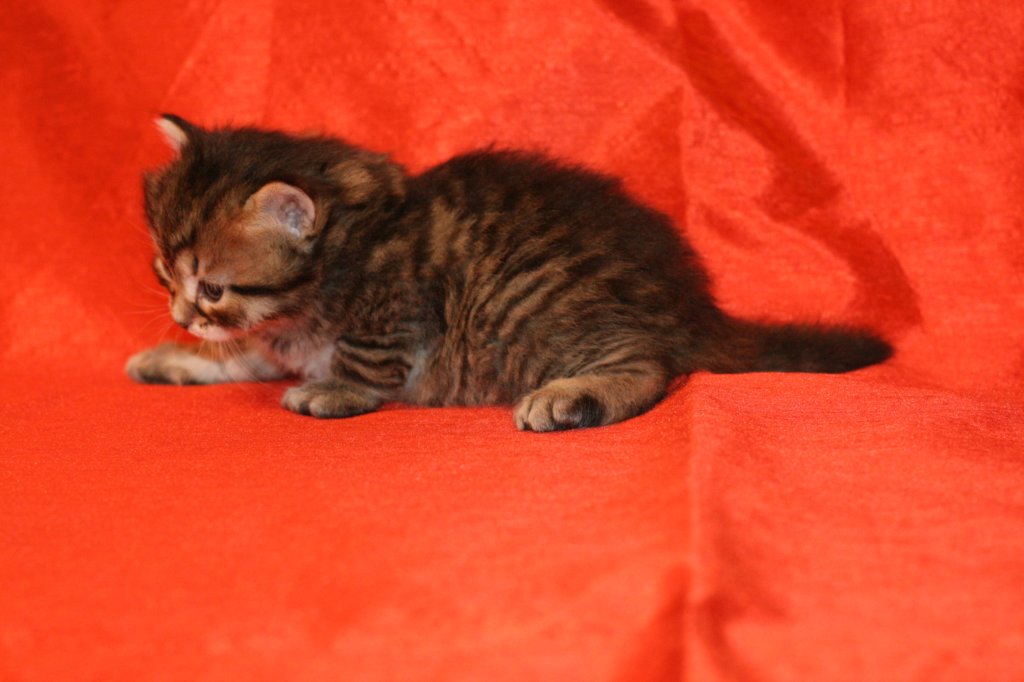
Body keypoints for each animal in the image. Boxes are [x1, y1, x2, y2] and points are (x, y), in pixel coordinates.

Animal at [126, 114, 892, 431]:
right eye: (164, 272)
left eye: (213, 287)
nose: (181, 314)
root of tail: (691, 304)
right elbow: (243, 354)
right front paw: (179, 357)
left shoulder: (396, 307)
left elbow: (363, 359)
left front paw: (333, 388)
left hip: (534, 310)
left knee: (649, 367)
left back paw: (571, 398)